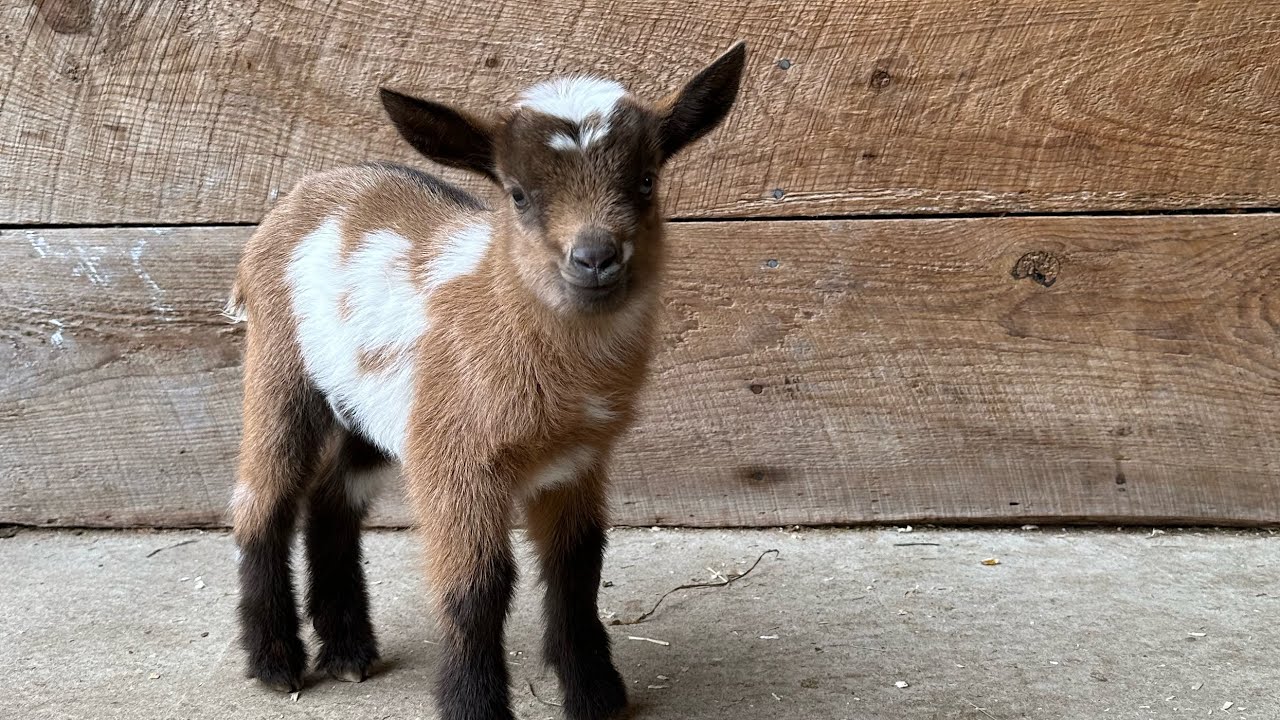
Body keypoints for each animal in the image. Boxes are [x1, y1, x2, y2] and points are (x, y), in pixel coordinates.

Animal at [227, 42, 746, 720]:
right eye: (519, 194)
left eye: (647, 180)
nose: (596, 259)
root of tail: (301, 195)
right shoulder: (456, 460)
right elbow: (477, 588)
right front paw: (475, 705)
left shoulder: (577, 461)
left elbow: (577, 569)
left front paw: (596, 696)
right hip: (279, 364)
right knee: (262, 497)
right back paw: (275, 664)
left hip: (378, 406)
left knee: (333, 495)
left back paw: (347, 652)